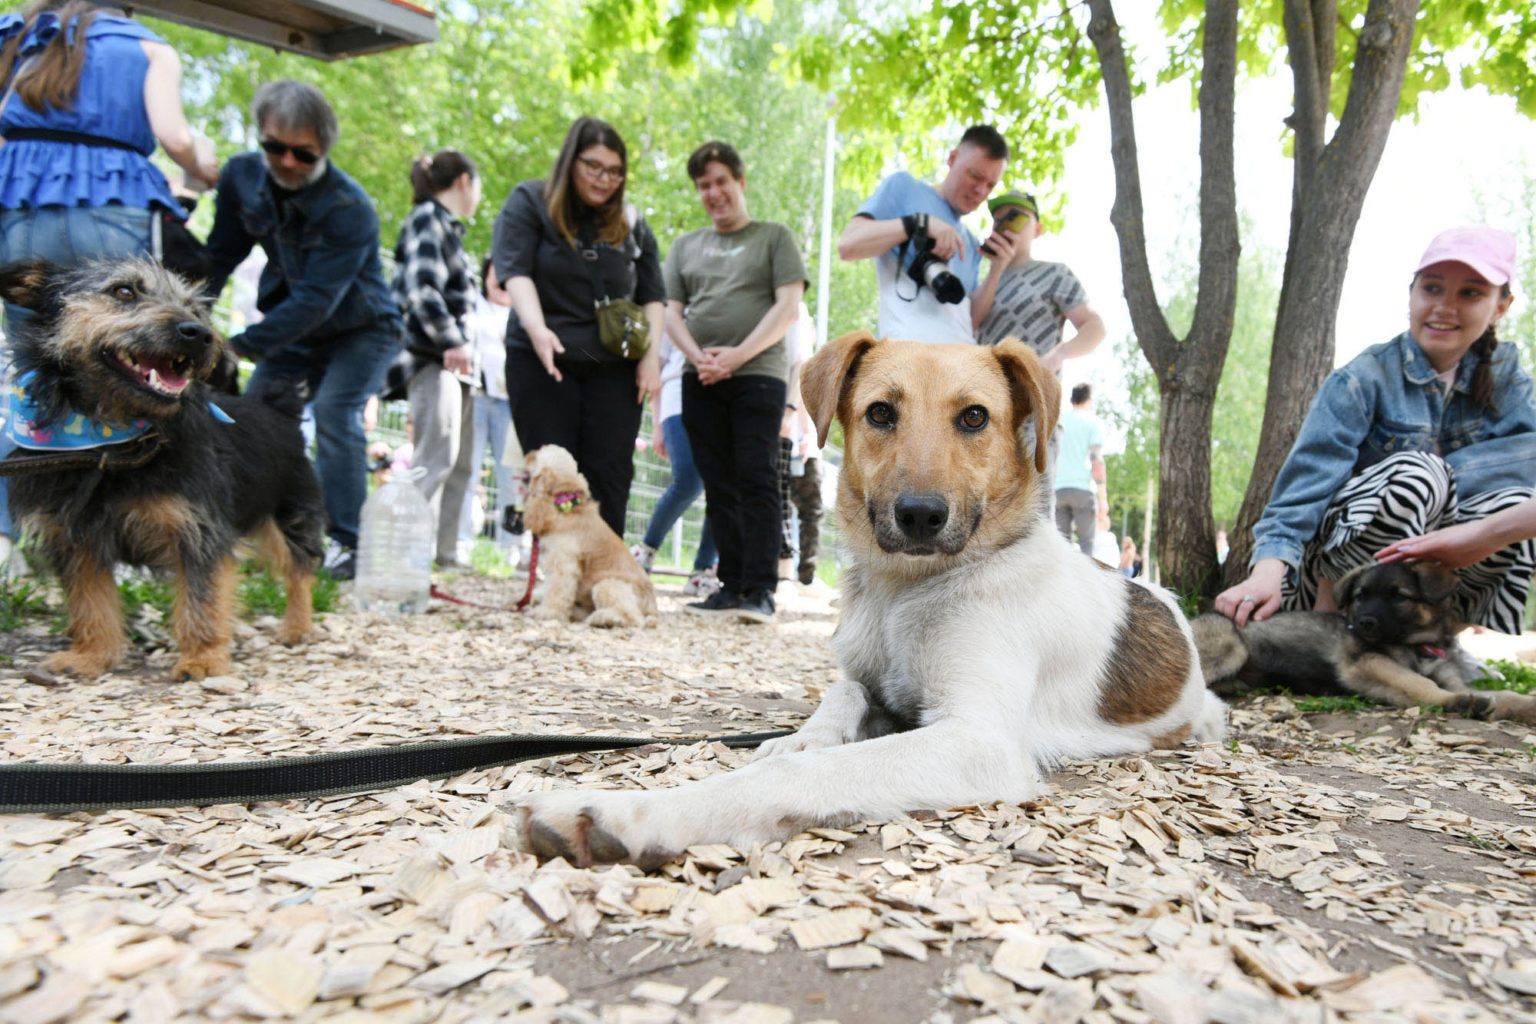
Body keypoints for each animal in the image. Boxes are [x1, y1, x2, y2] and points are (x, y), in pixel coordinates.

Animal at [0, 260, 324, 684]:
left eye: (195, 308)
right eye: (123, 291)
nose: (200, 333)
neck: (111, 442)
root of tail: (279, 411)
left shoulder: (199, 531)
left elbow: (202, 600)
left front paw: (203, 659)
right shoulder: (75, 540)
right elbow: (90, 603)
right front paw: (91, 655)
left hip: (287, 517)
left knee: (299, 569)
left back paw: (297, 627)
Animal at [522, 445, 654, 629]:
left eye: (537, 455)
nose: (528, 454)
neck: (566, 506)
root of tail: (653, 608)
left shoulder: (563, 565)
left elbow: (556, 590)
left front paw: (547, 612)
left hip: (606, 585)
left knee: (633, 618)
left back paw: (603, 618)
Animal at [1198, 564, 1536, 724]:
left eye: (1399, 596)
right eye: (1361, 596)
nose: (1364, 624)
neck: (1418, 646)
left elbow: (1505, 696)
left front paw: (1527, 705)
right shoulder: (1366, 663)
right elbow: (1419, 684)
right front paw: (1457, 703)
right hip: (1233, 645)